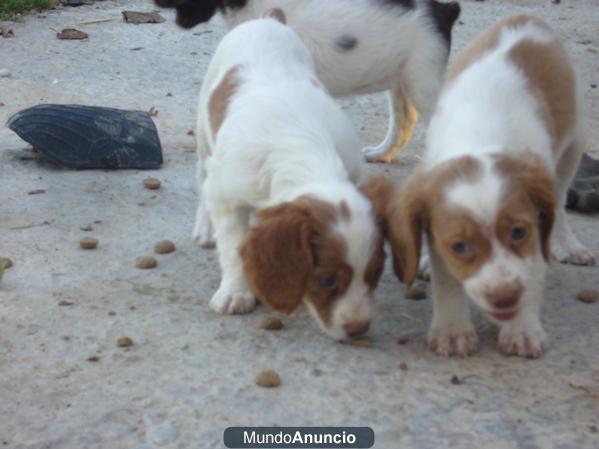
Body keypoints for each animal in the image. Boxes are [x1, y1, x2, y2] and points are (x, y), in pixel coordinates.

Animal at [195, 9, 386, 340]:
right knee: (201, 175)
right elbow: (232, 247)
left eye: (375, 272)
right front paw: (235, 292)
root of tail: (268, 19)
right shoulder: (226, 196)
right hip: (204, 134)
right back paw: (204, 229)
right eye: (325, 280)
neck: (305, 148)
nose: (359, 329)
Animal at [386, 13, 596, 356]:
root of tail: (523, 16)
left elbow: (533, 269)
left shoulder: (536, 222)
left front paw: (522, 329)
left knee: (562, 201)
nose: (505, 298)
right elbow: (446, 279)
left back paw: (568, 244)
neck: (480, 138)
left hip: (573, 145)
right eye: (460, 247)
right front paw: (452, 330)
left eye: (518, 232)